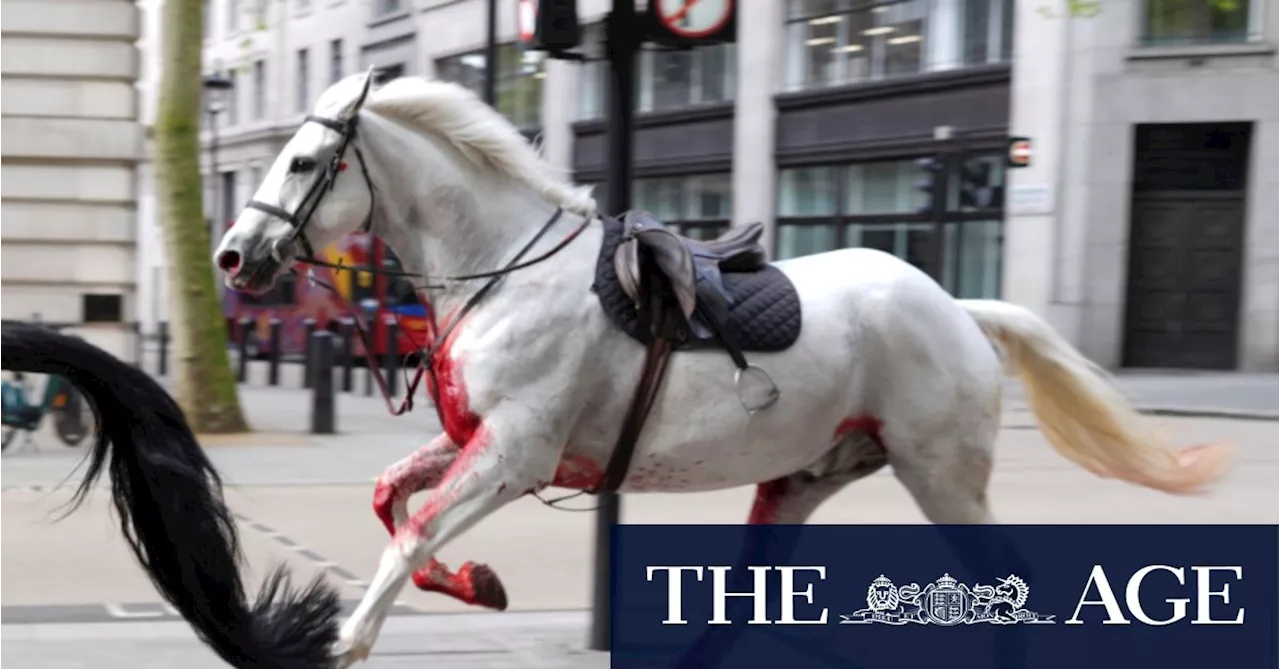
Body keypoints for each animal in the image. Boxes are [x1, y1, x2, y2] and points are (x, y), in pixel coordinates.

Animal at [212, 70, 1228, 665]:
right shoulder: (482, 441)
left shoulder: (514, 454)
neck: (502, 269)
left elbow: (412, 534)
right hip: (806, 476)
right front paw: (480, 584)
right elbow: (391, 499)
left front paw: (348, 639)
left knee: (1001, 580)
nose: (231, 256)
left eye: (304, 160)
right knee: (751, 596)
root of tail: (957, 308)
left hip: (938, 470)